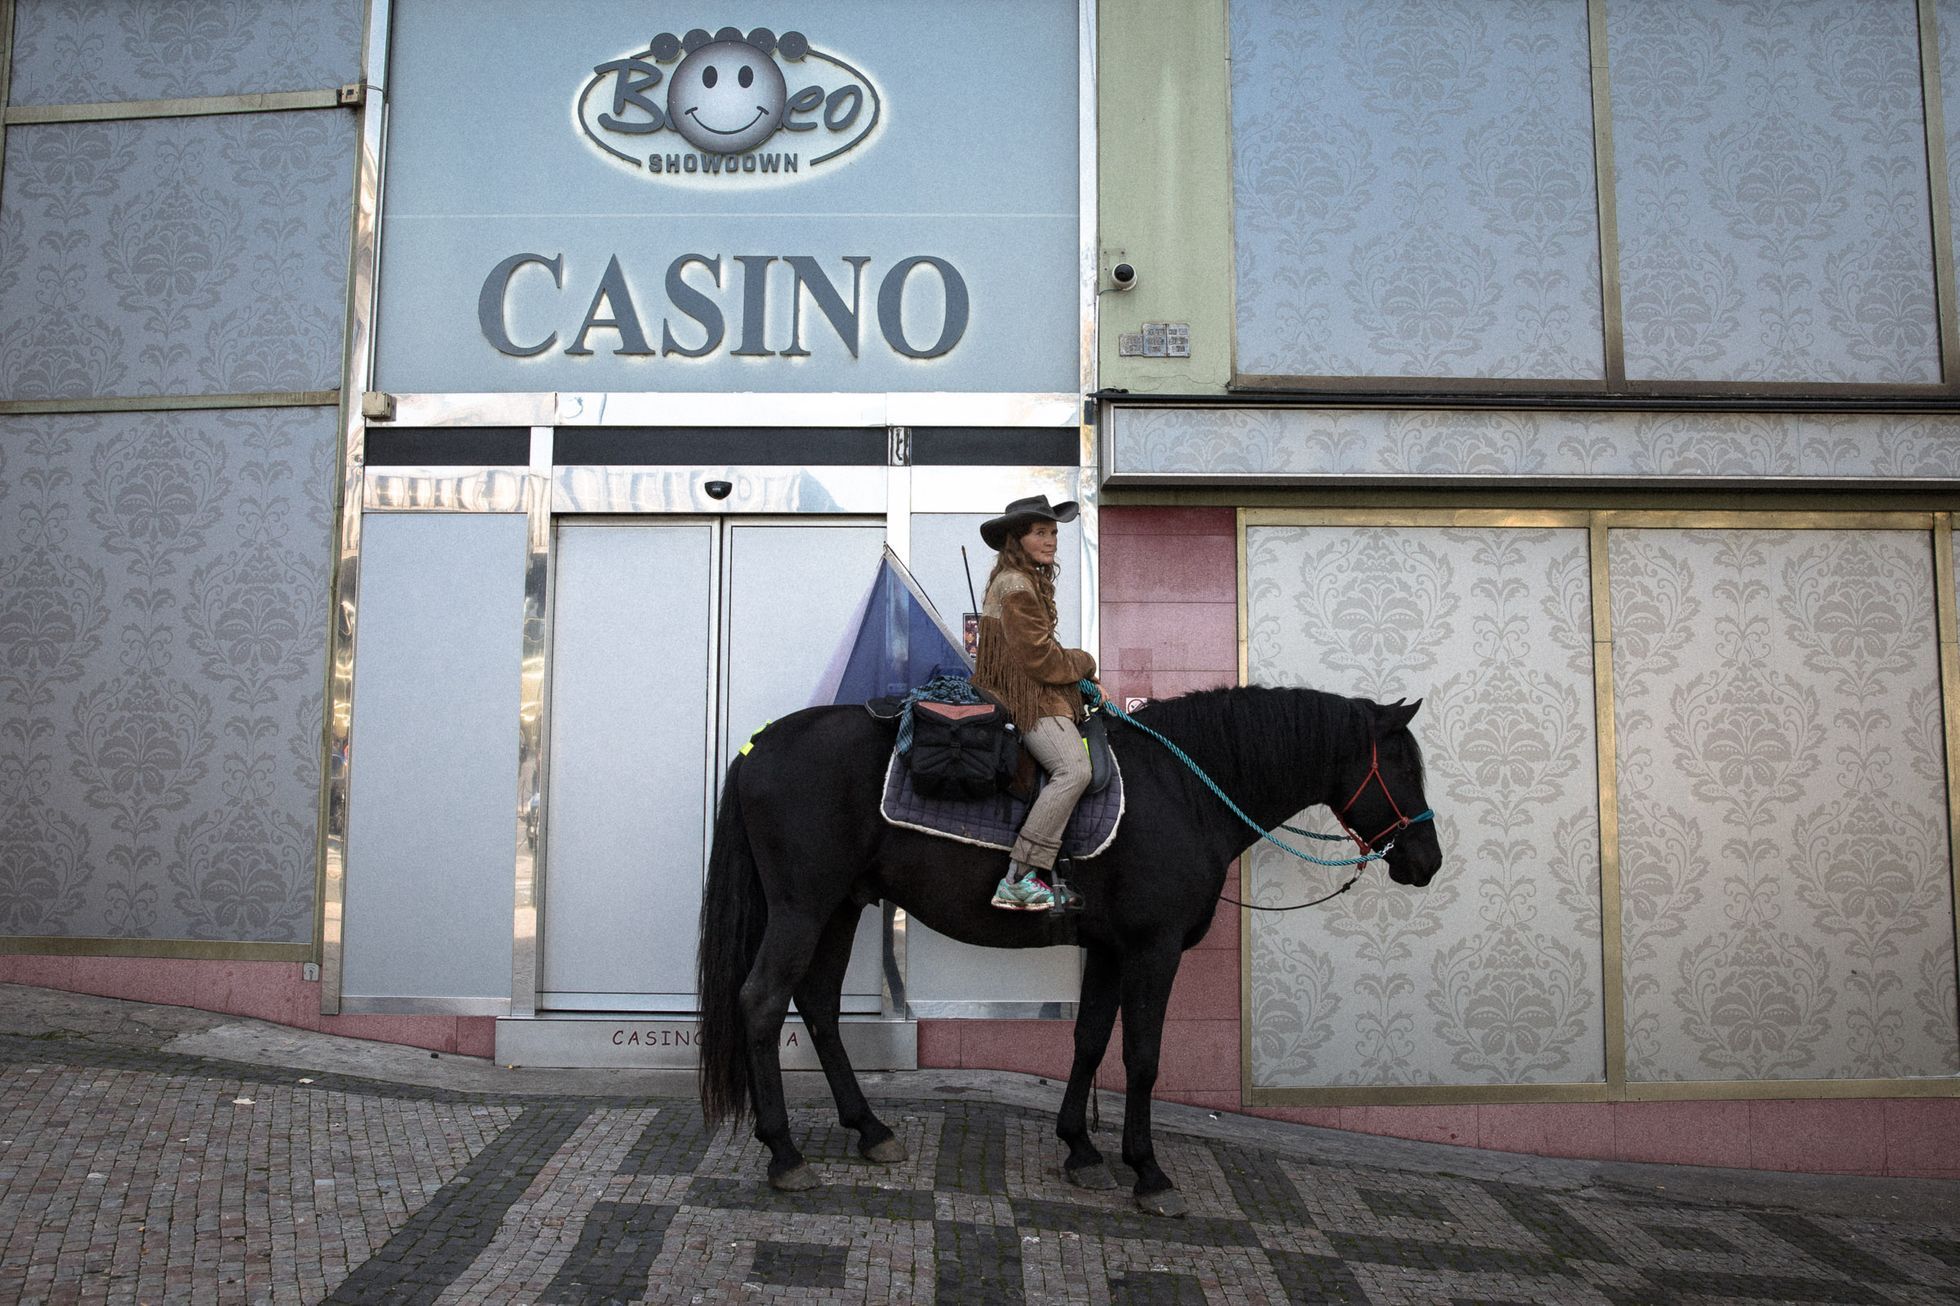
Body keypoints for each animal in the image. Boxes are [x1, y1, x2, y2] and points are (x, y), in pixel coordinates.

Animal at [697, 682, 1450, 1207]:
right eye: (1405, 769)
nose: (1428, 860)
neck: (1184, 791)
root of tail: (759, 746)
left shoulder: (1112, 949)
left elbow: (1089, 1041)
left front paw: (1081, 1149)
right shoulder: (1153, 949)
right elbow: (1142, 1058)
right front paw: (1147, 1171)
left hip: (839, 906)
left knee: (819, 1007)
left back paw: (869, 1130)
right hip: (802, 906)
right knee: (762, 1002)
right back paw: (785, 1153)